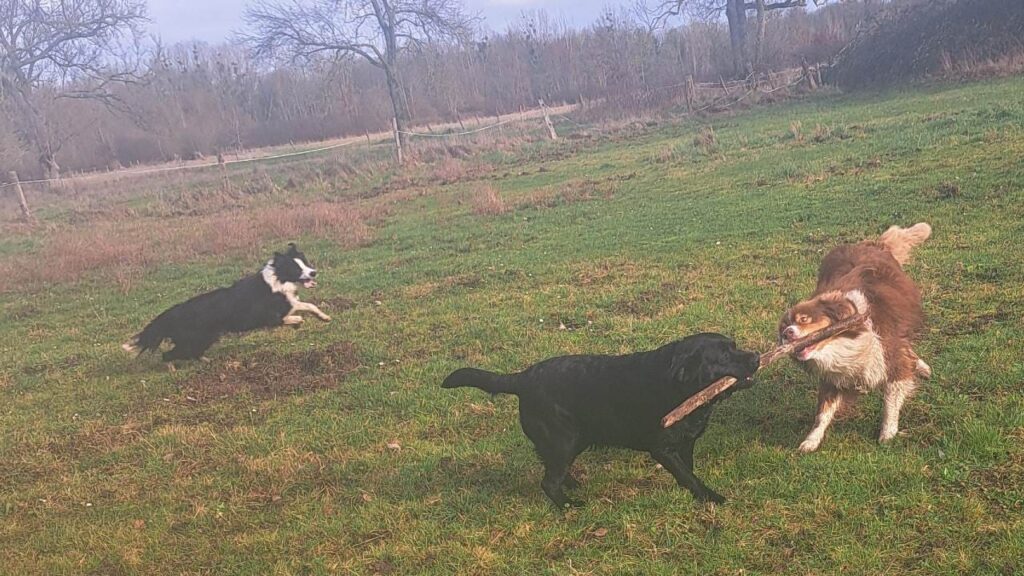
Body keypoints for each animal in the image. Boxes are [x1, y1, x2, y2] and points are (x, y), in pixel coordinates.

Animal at [440, 332, 761, 506]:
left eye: (735, 345)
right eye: (723, 356)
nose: (757, 357)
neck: (682, 388)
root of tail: (522, 378)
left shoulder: (685, 442)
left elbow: (688, 470)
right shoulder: (662, 448)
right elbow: (687, 475)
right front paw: (710, 497)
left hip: (568, 441)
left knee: (550, 467)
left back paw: (572, 485)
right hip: (564, 441)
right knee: (548, 482)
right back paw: (570, 505)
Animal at [778, 222, 933, 450]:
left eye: (804, 319)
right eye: (782, 329)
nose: (788, 334)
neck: (841, 344)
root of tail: (870, 243)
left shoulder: (890, 357)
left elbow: (890, 399)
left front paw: (887, 432)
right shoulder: (833, 378)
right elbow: (822, 414)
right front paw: (811, 440)